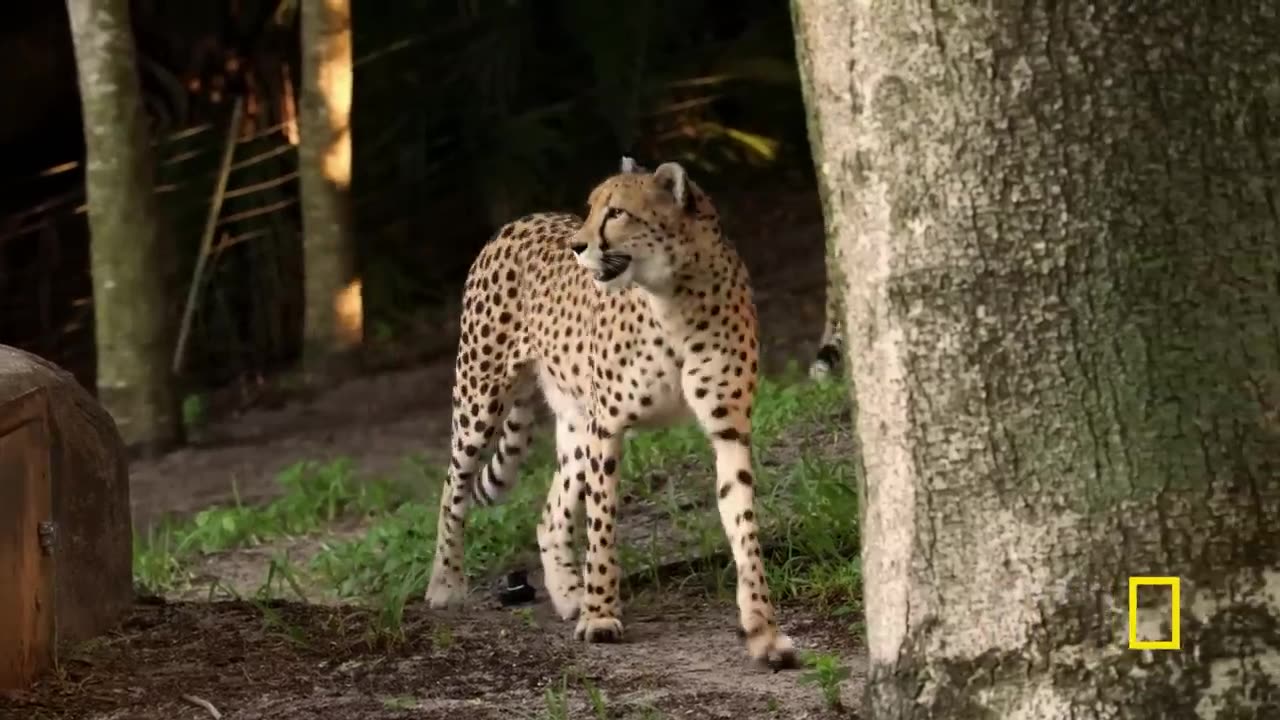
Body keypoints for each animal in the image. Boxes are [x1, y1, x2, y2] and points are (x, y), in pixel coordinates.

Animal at [424, 154, 793, 666]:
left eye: (617, 212)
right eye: (592, 208)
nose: (577, 245)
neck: (676, 296)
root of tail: (519, 220)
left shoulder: (729, 429)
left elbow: (744, 529)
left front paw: (763, 630)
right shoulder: (609, 427)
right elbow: (601, 526)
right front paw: (600, 615)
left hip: (576, 422)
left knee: (550, 514)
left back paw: (567, 593)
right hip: (481, 396)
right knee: (452, 485)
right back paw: (445, 582)